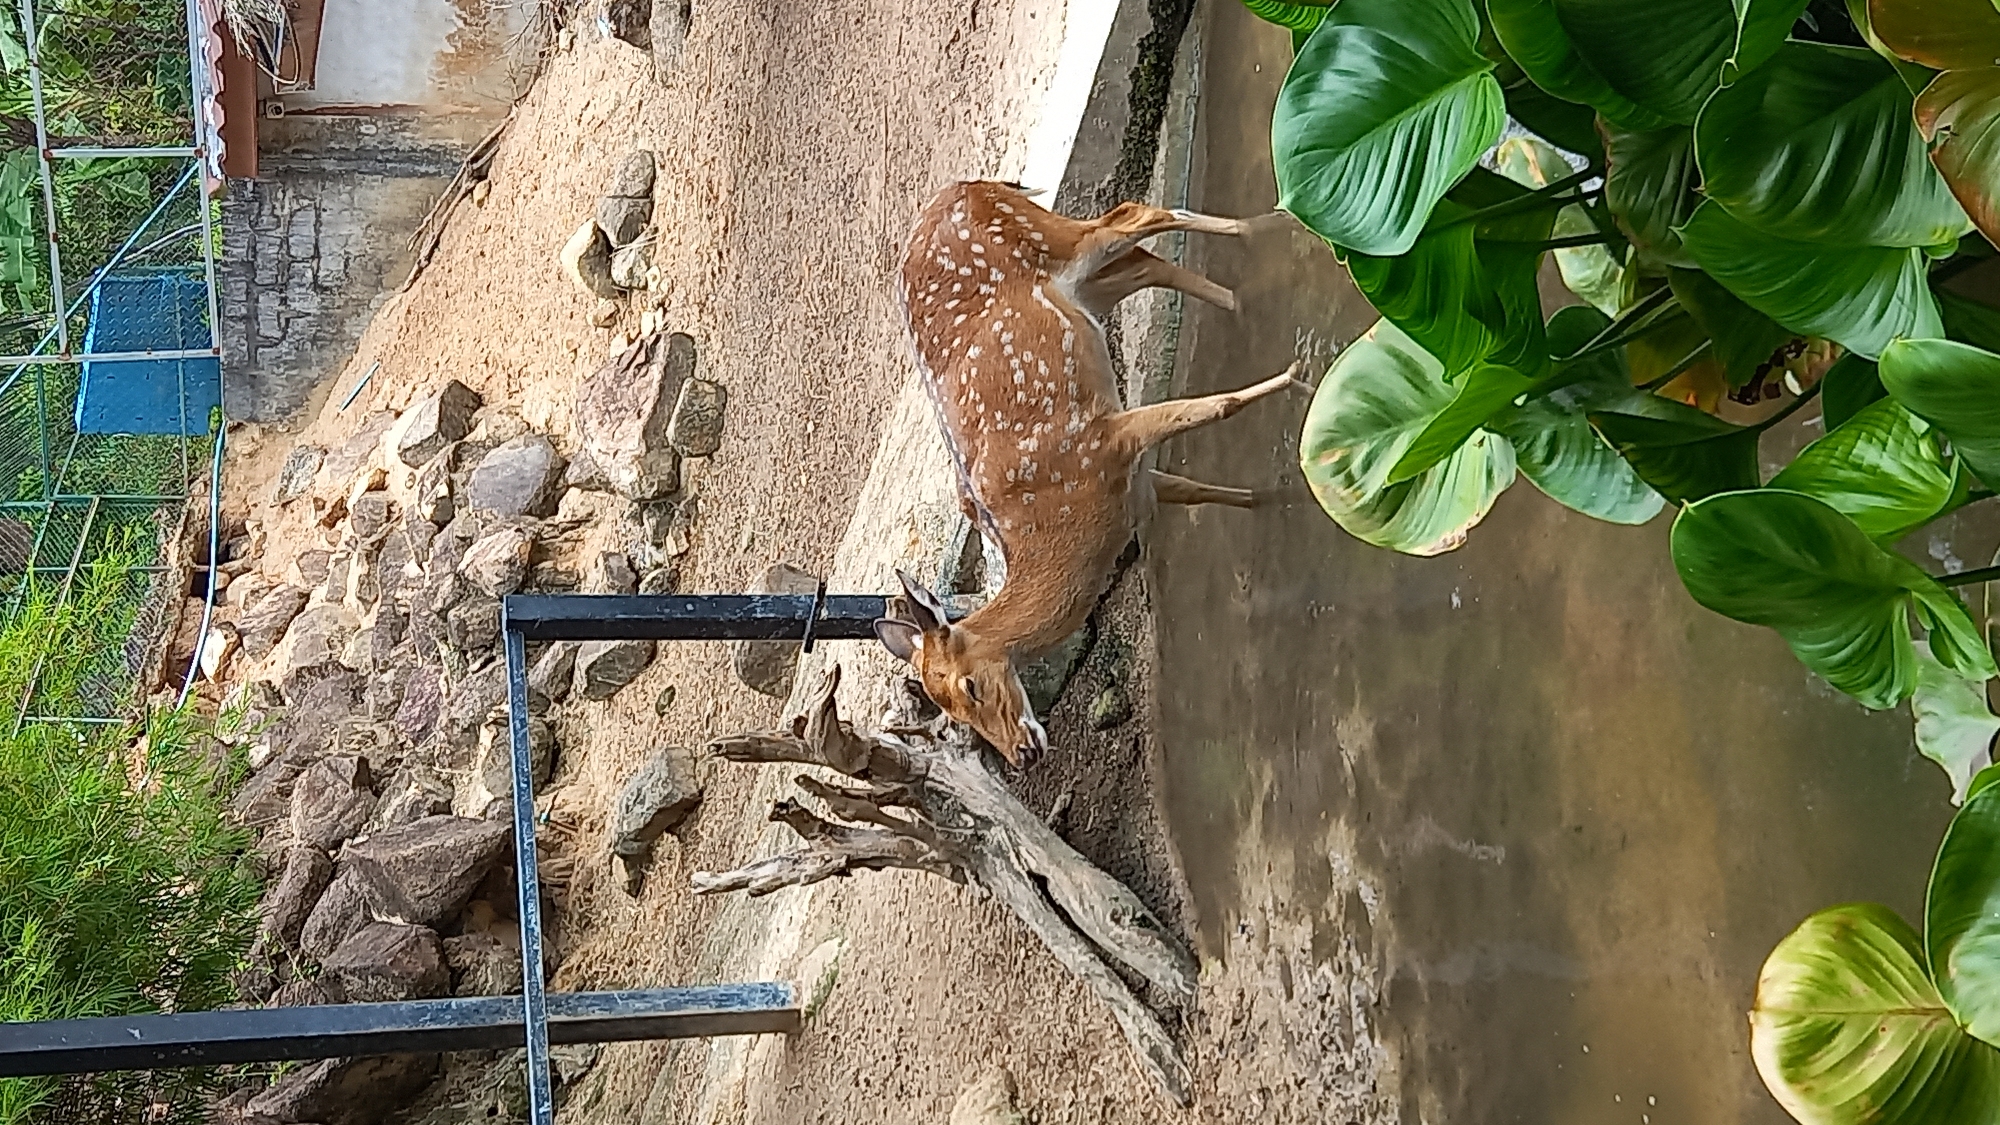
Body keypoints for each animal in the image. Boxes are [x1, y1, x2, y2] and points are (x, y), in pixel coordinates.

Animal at [873, 180, 1303, 767]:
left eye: (969, 686)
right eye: (952, 718)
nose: (1022, 756)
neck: (1075, 522)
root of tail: (969, 185)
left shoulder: (1103, 440)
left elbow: (1216, 406)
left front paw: (1297, 379)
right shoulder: (1137, 486)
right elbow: (1195, 488)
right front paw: (1268, 498)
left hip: (1055, 240)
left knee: (1135, 216)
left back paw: (1268, 227)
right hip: (1086, 289)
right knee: (1143, 262)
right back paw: (1239, 294)